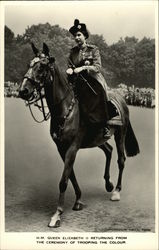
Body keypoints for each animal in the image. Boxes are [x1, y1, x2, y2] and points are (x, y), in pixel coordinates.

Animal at [19, 42, 140, 227]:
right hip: (98, 139)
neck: (66, 110)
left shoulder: (72, 148)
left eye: (42, 67)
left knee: (121, 160)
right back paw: (108, 184)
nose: (23, 91)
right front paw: (78, 200)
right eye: (29, 65)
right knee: (108, 150)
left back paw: (116, 191)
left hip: (121, 134)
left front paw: (57, 215)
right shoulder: (62, 148)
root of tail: (121, 98)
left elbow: (63, 180)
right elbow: (71, 175)